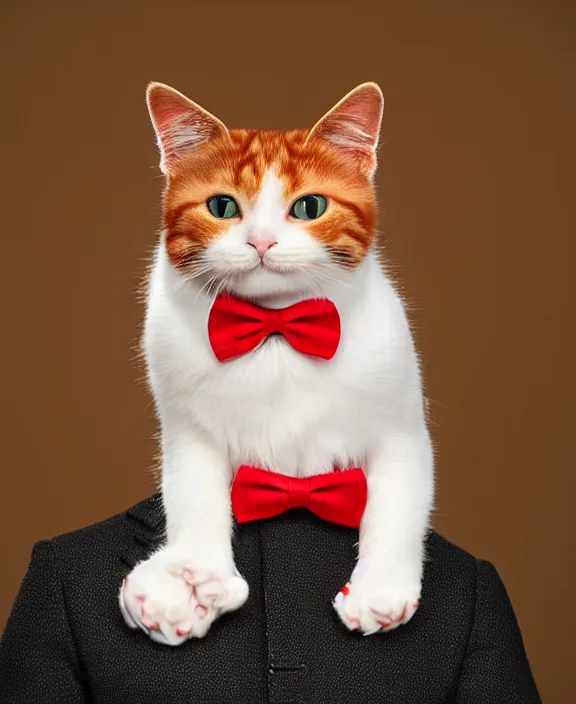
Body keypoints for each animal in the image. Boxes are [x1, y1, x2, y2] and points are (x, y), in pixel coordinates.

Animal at [119, 80, 434, 648]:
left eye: (309, 206)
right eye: (222, 206)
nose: (260, 240)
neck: (276, 332)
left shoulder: (401, 427)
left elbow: (395, 502)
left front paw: (379, 590)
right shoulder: (188, 429)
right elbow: (195, 494)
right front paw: (194, 577)